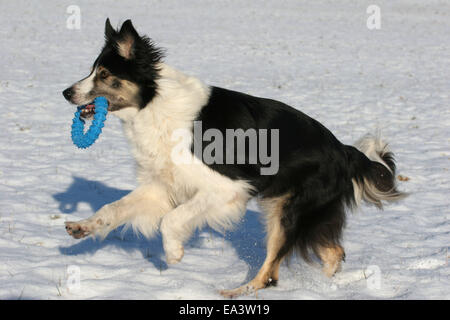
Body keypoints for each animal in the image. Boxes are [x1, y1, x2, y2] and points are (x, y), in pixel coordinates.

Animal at [61, 18, 406, 298]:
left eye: (104, 74)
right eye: (93, 70)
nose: (66, 93)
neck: (154, 103)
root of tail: (343, 150)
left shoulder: (228, 187)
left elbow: (171, 220)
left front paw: (174, 253)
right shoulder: (162, 187)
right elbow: (113, 209)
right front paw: (82, 227)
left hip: (288, 212)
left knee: (271, 274)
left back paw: (236, 291)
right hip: (295, 209)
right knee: (333, 251)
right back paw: (326, 285)